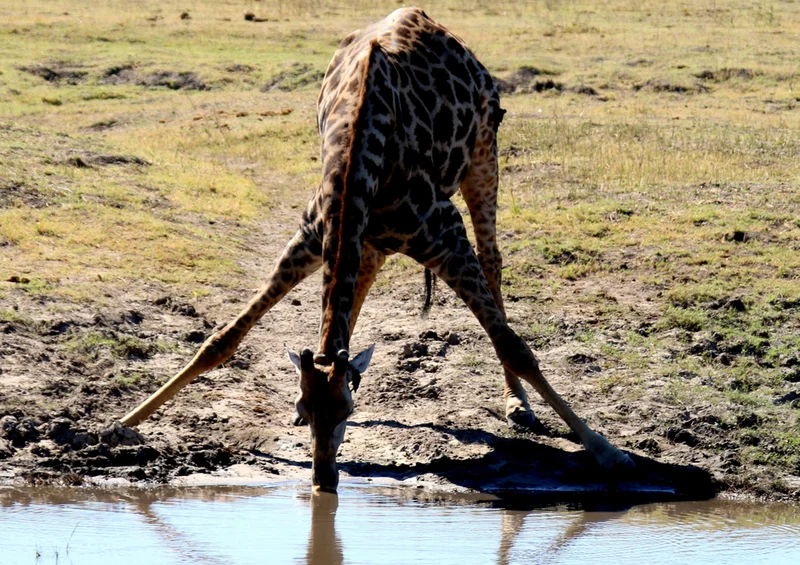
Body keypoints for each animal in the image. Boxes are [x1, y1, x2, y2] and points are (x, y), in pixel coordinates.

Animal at [120, 7, 633, 492]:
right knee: (363, 280)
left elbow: (514, 345)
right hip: (372, 238)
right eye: (304, 407)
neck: (358, 154)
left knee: (493, 263)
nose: (324, 479)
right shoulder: (311, 237)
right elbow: (221, 340)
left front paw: (607, 452)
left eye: (347, 412)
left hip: (484, 155)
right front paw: (120, 426)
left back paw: (517, 405)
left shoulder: (446, 236)